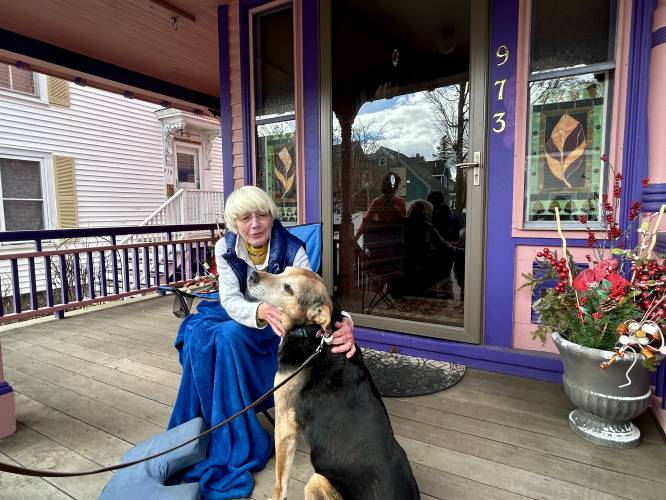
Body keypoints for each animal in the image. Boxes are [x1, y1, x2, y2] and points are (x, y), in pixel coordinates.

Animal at [246, 268, 418, 500]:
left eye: (289, 289)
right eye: (284, 270)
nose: (252, 275)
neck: (313, 334)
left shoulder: (284, 426)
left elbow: (280, 483)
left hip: (315, 482)